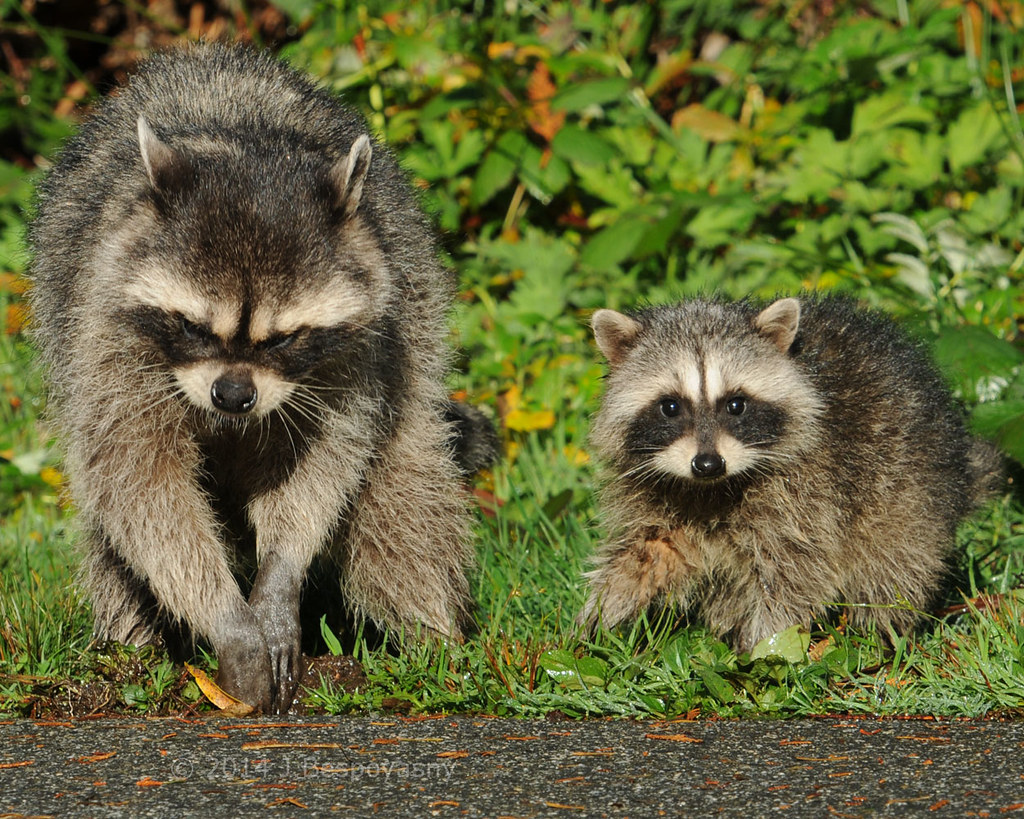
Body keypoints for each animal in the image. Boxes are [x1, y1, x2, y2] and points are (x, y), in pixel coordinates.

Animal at [28, 43, 483, 708]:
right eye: (194, 328)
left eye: (284, 338)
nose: (234, 396)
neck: (246, 151)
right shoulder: (105, 323)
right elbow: (138, 476)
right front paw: (224, 614)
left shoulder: (365, 344)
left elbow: (324, 458)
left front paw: (278, 579)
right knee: (111, 531)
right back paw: (129, 646)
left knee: (405, 490)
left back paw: (432, 638)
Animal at [581, 296, 1003, 651]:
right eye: (670, 407)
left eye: (736, 404)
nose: (708, 464)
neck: (712, 489)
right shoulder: (654, 495)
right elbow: (646, 552)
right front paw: (600, 616)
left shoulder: (808, 494)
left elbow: (792, 575)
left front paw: (764, 649)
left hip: (909, 485)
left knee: (895, 561)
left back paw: (880, 631)